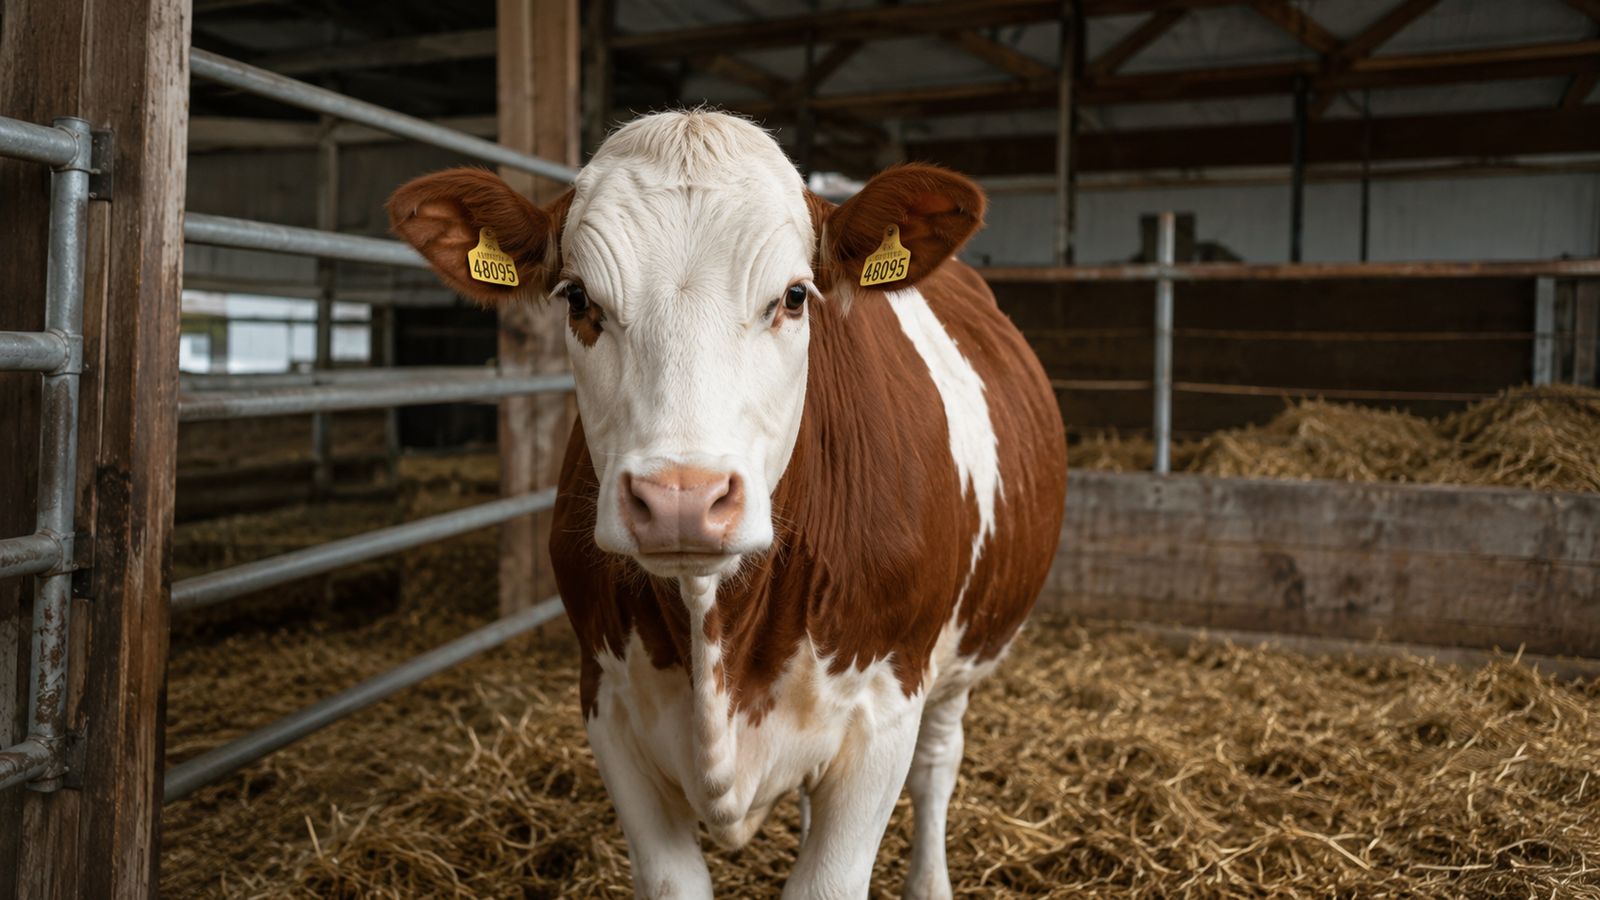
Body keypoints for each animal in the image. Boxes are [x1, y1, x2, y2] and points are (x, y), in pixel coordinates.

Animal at [388, 110, 1066, 899]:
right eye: (579, 298)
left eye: (796, 296)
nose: (681, 499)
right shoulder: (608, 704)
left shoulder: (886, 708)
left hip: (960, 656)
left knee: (937, 769)